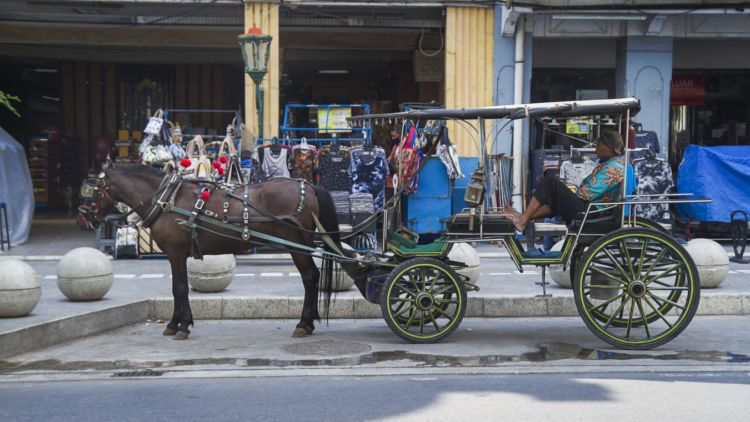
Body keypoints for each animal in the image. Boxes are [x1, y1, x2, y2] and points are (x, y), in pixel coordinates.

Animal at [78, 163, 362, 342]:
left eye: (91, 190)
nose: (83, 217)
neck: (166, 199)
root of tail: (308, 186)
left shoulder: (176, 252)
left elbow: (180, 288)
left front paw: (182, 325)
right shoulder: (174, 254)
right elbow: (176, 289)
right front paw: (174, 323)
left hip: (295, 244)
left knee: (310, 277)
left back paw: (304, 323)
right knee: (311, 278)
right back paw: (309, 322)